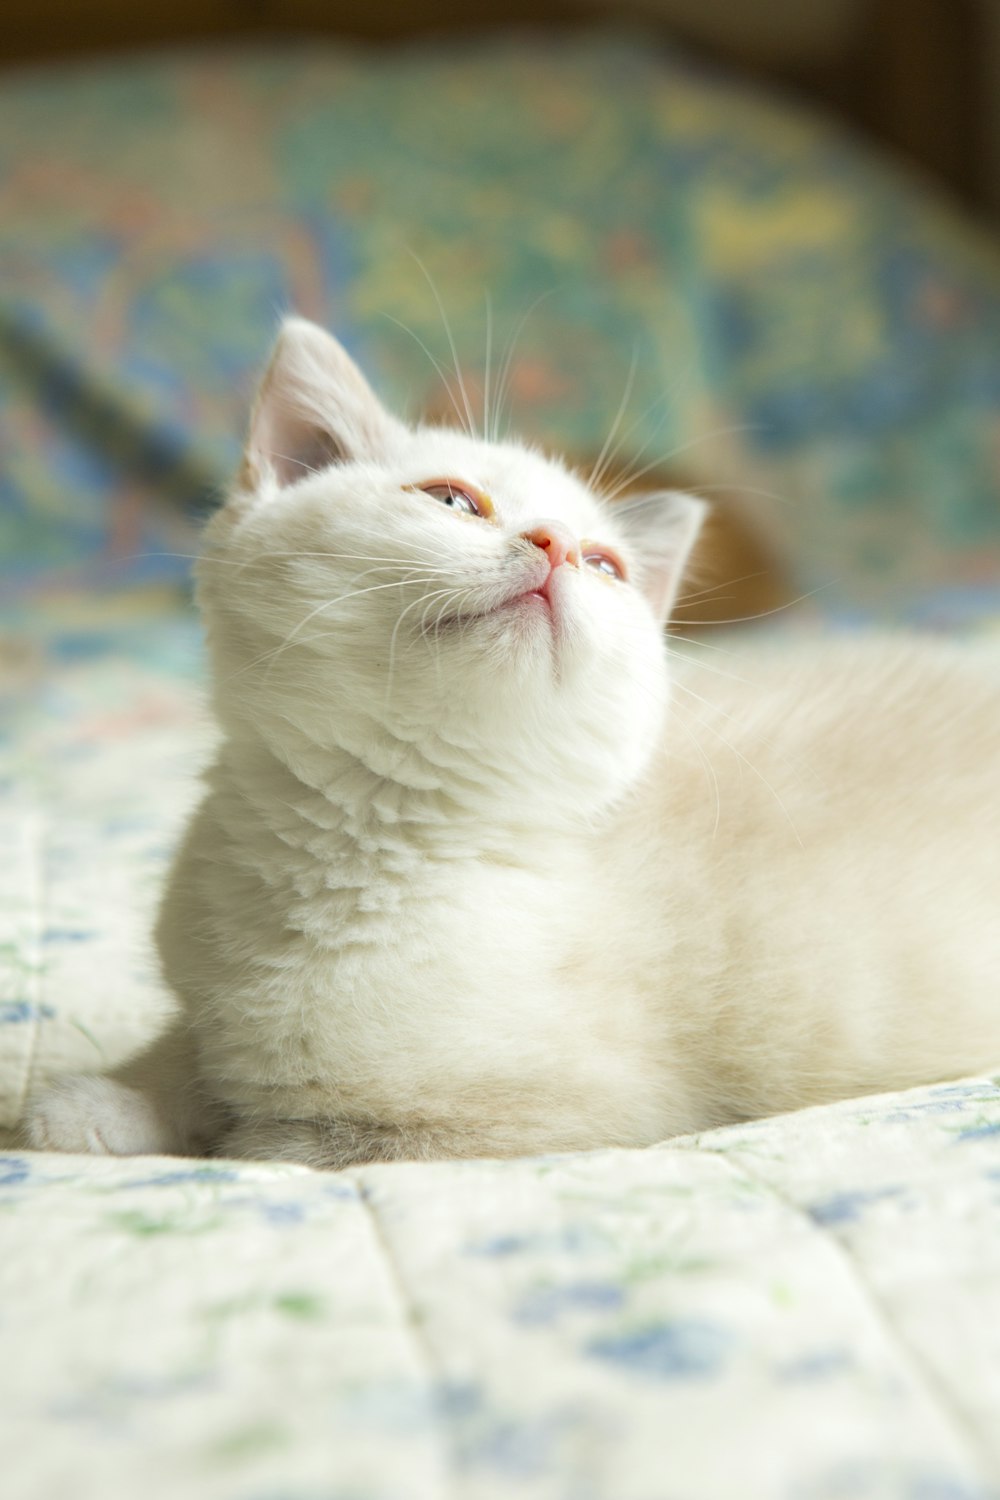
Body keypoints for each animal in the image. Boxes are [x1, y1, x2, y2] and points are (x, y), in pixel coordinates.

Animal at [27, 313, 1000, 1158]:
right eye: (453, 499)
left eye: (605, 566)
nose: (558, 545)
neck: (368, 844)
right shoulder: (207, 989)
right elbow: (196, 1048)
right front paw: (102, 1103)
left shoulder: (574, 1115)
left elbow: (286, 1134)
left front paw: (198, 1118)